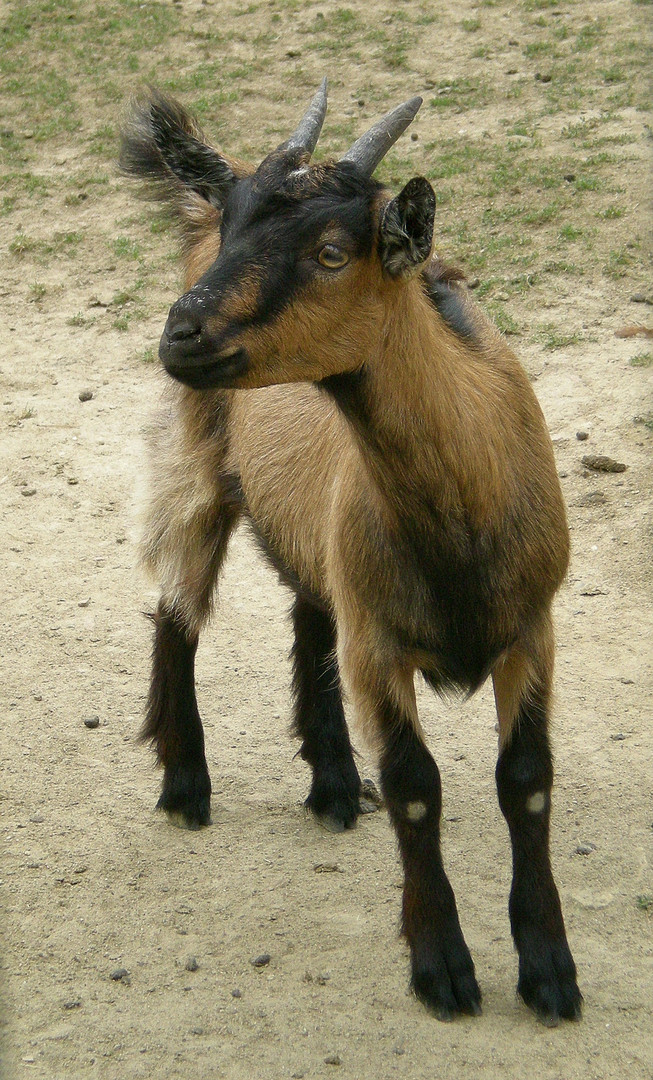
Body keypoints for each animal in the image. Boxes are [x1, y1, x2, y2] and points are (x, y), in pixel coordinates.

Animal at [120, 82, 578, 1019]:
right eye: (238, 227)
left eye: (332, 252)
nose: (182, 333)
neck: (462, 509)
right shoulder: (379, 646)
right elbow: (414, 789)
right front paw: (443, 969)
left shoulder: (531, 629)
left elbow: (525, 779)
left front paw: (549, 970)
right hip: (197, 459)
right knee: (177, 609)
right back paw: (185, 786)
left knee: (304, 616)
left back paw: (331, 782)